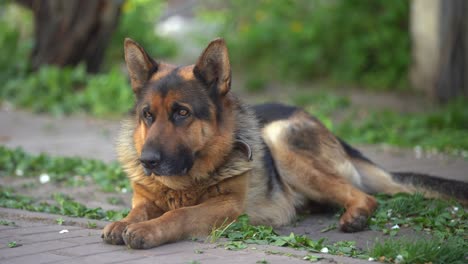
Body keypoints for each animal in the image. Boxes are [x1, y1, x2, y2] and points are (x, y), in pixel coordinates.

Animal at [103, 38, 468, 249]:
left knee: (364, 196)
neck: (182, 184)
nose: (148, 161)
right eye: (148, 115)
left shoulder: (226, 206)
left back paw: (354, 217)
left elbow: (179, 215)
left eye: (182, 113)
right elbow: (140, 210)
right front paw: (124, 222)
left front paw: (148, 230)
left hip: (281, 140)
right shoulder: (146, 198)